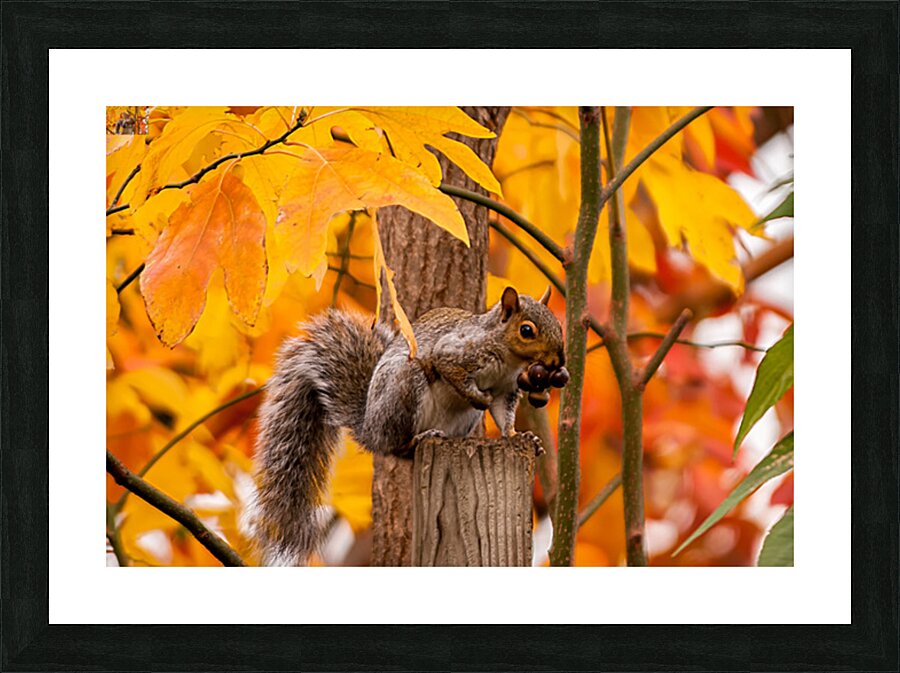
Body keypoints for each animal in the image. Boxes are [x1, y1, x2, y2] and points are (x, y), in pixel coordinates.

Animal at [246, 286, 567, 566]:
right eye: (527, 330)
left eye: (558, 326)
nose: (558, 361)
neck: (508, 357)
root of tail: (371, 429)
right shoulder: (454, 352)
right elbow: (450, 370)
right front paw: (478, 397)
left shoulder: (506, 390)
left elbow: (503, 416)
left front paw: (519, 437)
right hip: (406, 388)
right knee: (399, 445)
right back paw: (420, 436)